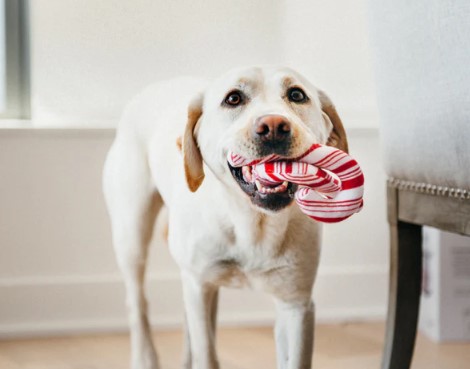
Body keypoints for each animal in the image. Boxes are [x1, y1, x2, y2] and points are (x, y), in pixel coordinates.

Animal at [102, 66, 346, 368]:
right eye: (233, 98)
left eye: (297, 95)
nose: (274, 126)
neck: (252, 223)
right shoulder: (198, 285)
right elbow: (206, 355)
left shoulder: (297, 305)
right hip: (132, 238)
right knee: (137, 305)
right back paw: (144, 358)